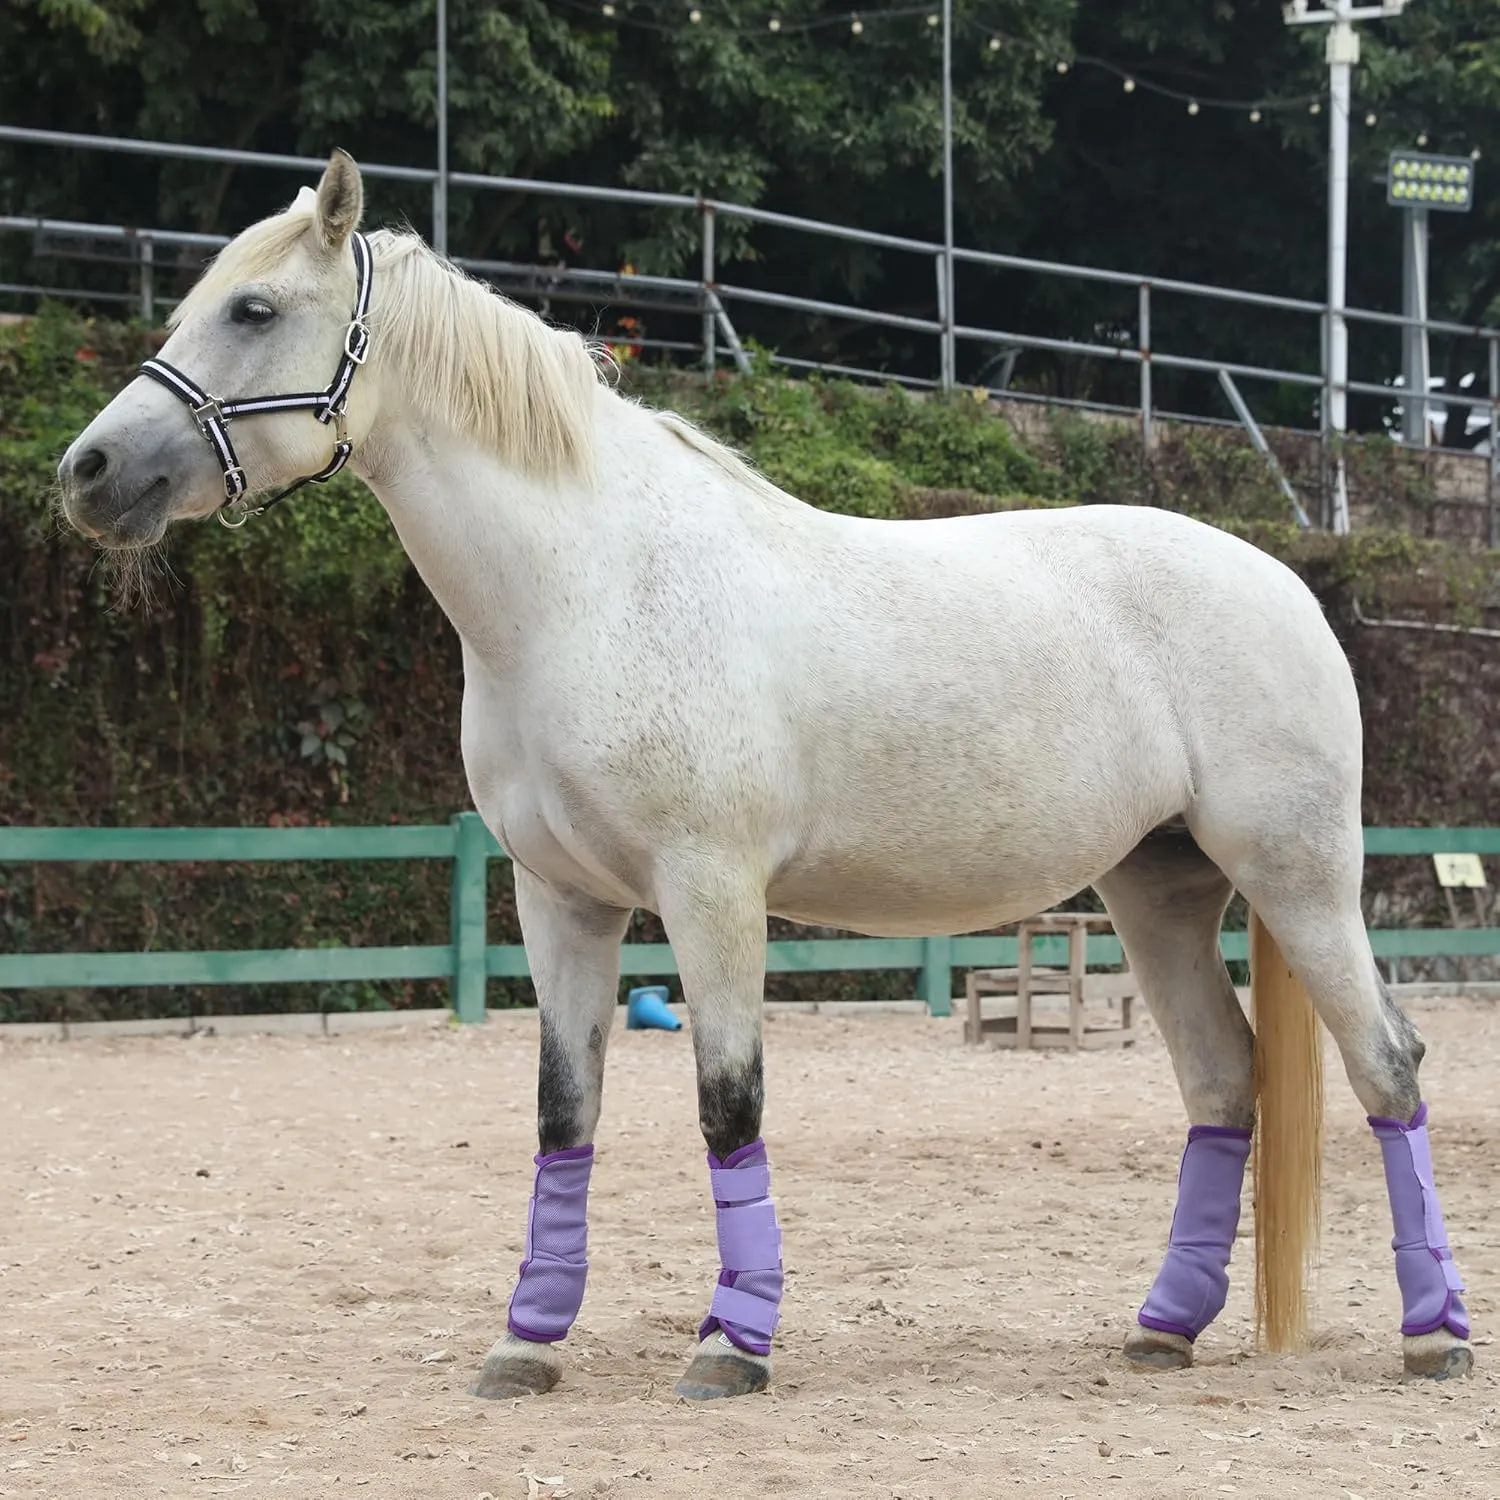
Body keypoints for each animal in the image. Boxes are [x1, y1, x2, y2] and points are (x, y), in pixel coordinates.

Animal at [56, 150, 1475, 1401]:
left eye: (254, 310)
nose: (89, 473)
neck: (590, 586)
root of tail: (1284, 580)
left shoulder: (712, 895)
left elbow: (726, 1105)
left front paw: (731, 1347)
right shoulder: (559, 903)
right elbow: (564, 1113)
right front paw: (527, 1343)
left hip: (1296, 877)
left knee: (1390, 1064)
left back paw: (1434, 1338)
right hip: (1160, 891)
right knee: (1223, 1081)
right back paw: (1164, 1330)